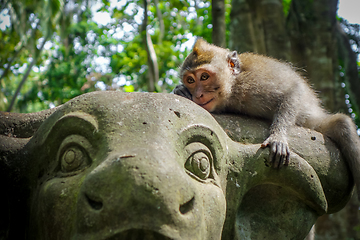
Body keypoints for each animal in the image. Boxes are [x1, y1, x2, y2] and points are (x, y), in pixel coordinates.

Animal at [174, 38, 360, 201]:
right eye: (190, 80)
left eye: (204, 77)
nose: (198, 94)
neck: (233, 86)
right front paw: (181, 91)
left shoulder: (255, 82)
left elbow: (293, 90)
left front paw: (278, 137)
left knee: (343, 126)